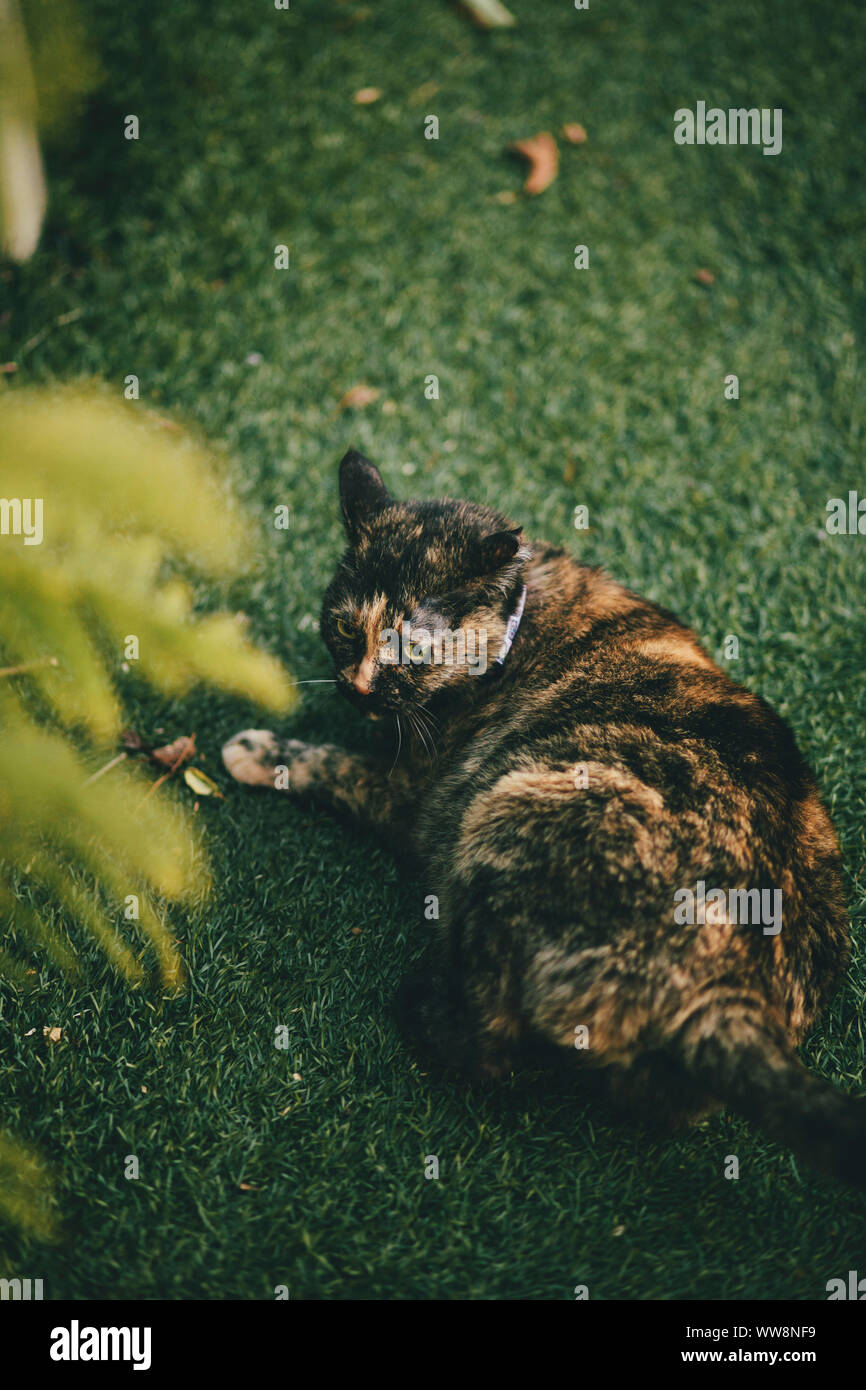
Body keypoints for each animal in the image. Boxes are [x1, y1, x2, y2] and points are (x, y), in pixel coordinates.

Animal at [223, 450, 861, 1189]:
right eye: (347, 627)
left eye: (412, 650)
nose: (356, 688)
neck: (521, 620)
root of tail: (727, 989)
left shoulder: (408, 792)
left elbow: (328, 764)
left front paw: (256, 750)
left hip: (509, 809)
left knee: (488, 1047)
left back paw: (418, 1006)